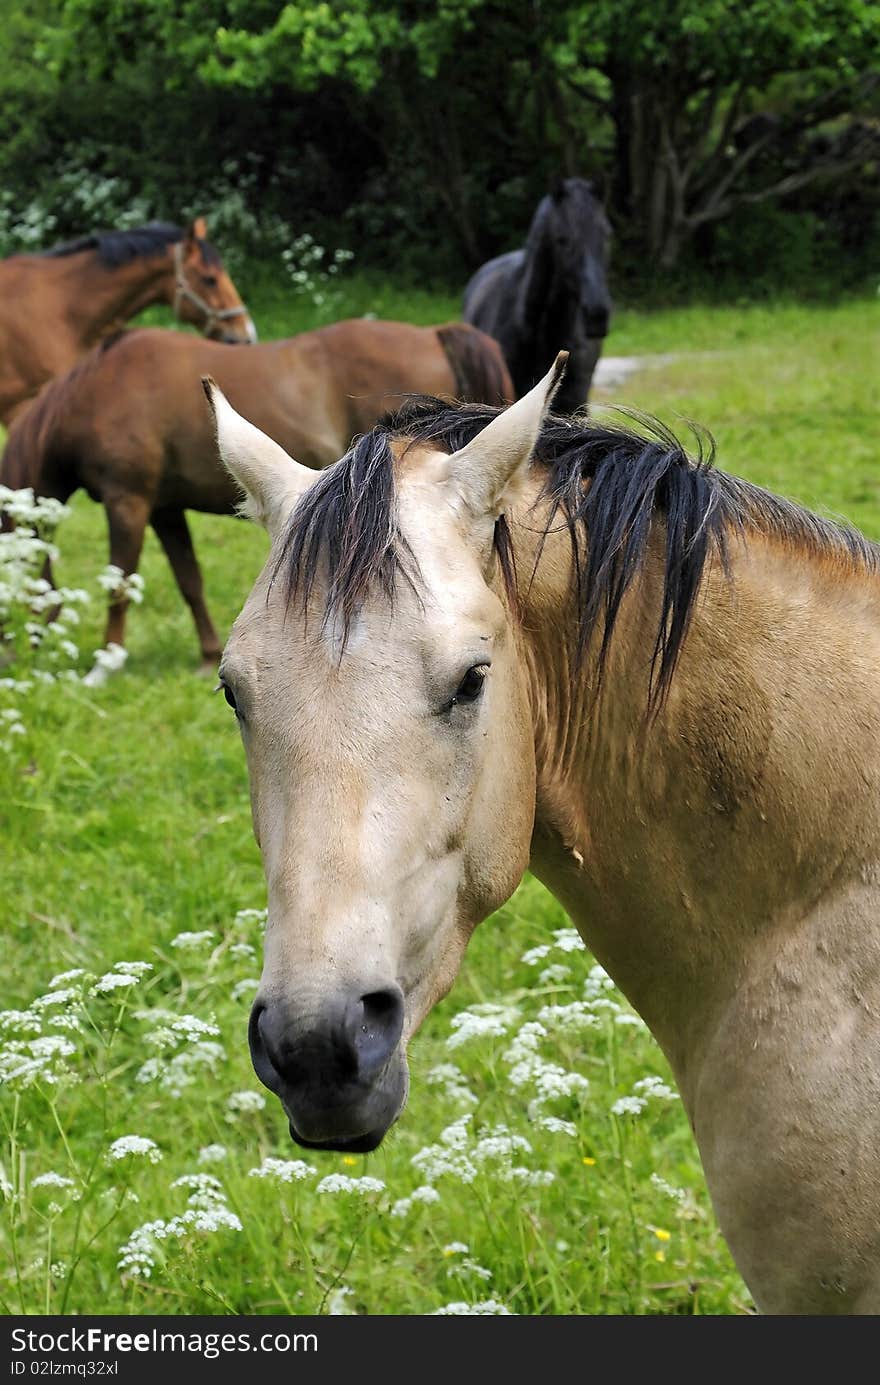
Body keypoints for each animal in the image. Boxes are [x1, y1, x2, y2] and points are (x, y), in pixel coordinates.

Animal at [1, 324, 509, 670]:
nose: (11, 654)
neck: (100, 388)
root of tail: (433, 333)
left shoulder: (127, 501)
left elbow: (120, 582)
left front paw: (107, 663)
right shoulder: (165, 509)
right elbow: (189, 579)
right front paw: (207, 654)